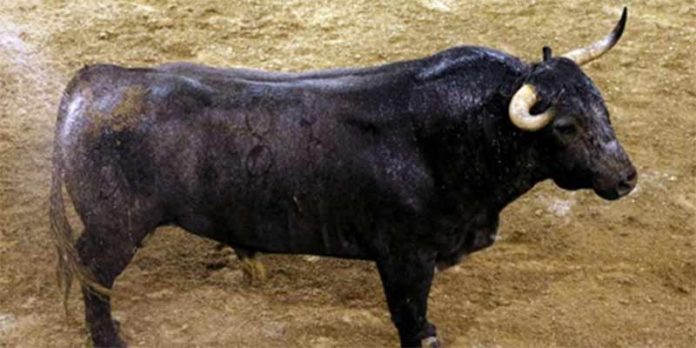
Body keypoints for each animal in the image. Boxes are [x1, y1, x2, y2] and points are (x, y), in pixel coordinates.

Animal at [49, 8, 636, 348]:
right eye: (565, 126)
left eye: (602, 107)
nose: (627, 178)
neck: (454, 134)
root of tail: (96, 78)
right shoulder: (404, 257)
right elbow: (412, 321)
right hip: (115, 228)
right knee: (94, 275)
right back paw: (110, 339)